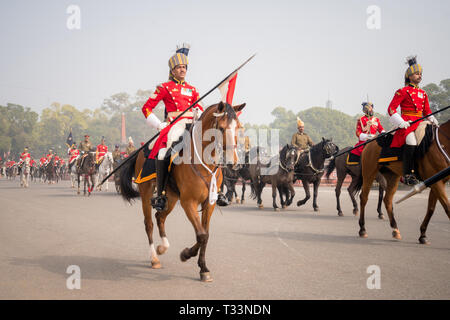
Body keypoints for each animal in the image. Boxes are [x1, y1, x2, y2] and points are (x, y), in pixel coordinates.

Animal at [119, 101, 244, 282]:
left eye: (238, 127)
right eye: (220, 128)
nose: (233, 162)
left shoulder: (210, 203)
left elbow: (205, 234)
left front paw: (203, 268)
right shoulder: (188, 202)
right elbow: (201, 235)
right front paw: (186, 254)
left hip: (171, 197)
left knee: (160, 217)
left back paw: (162, 248)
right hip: (146, 191)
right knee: (149, 223)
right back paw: (154, 258)